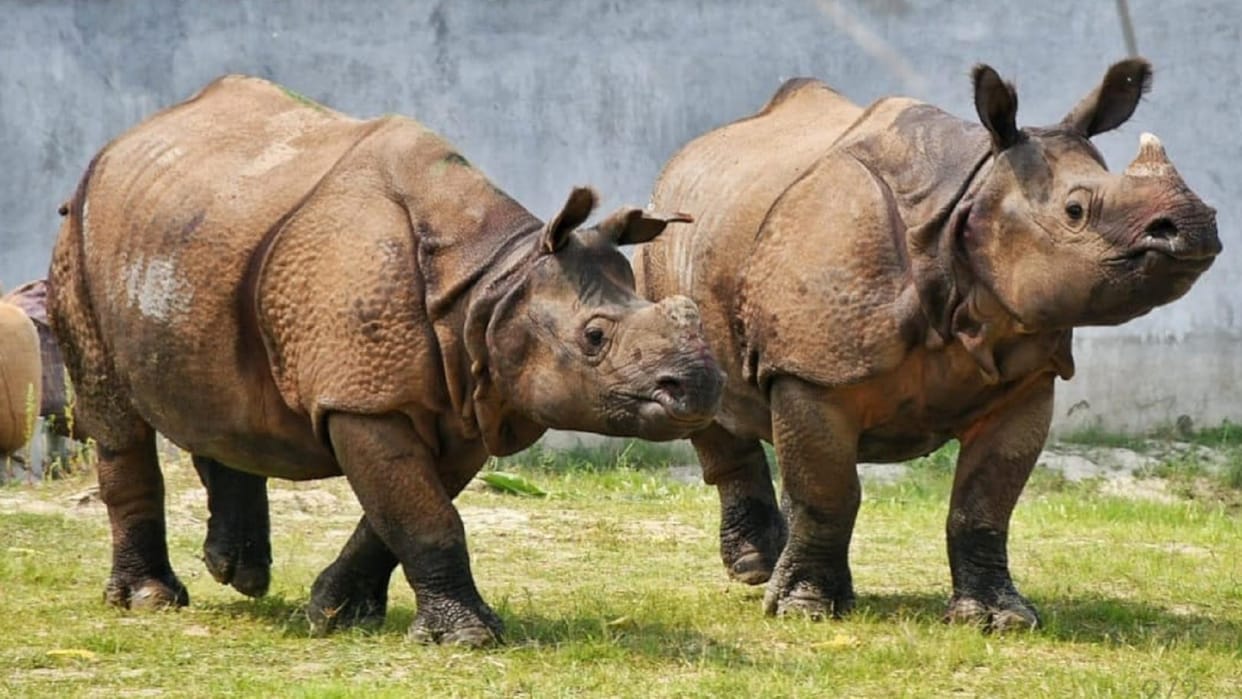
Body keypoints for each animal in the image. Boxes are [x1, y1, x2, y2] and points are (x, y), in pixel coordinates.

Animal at [49, 75, 723, 646]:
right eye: (594, 337)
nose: (699, 387)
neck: (495, 283)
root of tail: (124, 139)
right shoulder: (365, 398)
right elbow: (425, 514)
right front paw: (468, 639)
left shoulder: (465, 396)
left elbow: (401, 510)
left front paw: (335, 612)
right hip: (78, 235)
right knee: (115, 414)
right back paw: (151, 599)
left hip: (193, 234)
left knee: (218, 391)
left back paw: (238, 573)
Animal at [635, 58, 1220, 630]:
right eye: (1075, 211)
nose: (1195, 226)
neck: (971, 195)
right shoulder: (813, 369)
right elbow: (828, 492)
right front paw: (806, 612)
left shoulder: (1027, 378)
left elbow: (985, 502)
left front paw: (1000, 618)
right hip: (659, 246)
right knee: (705, 399)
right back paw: (756, 568)